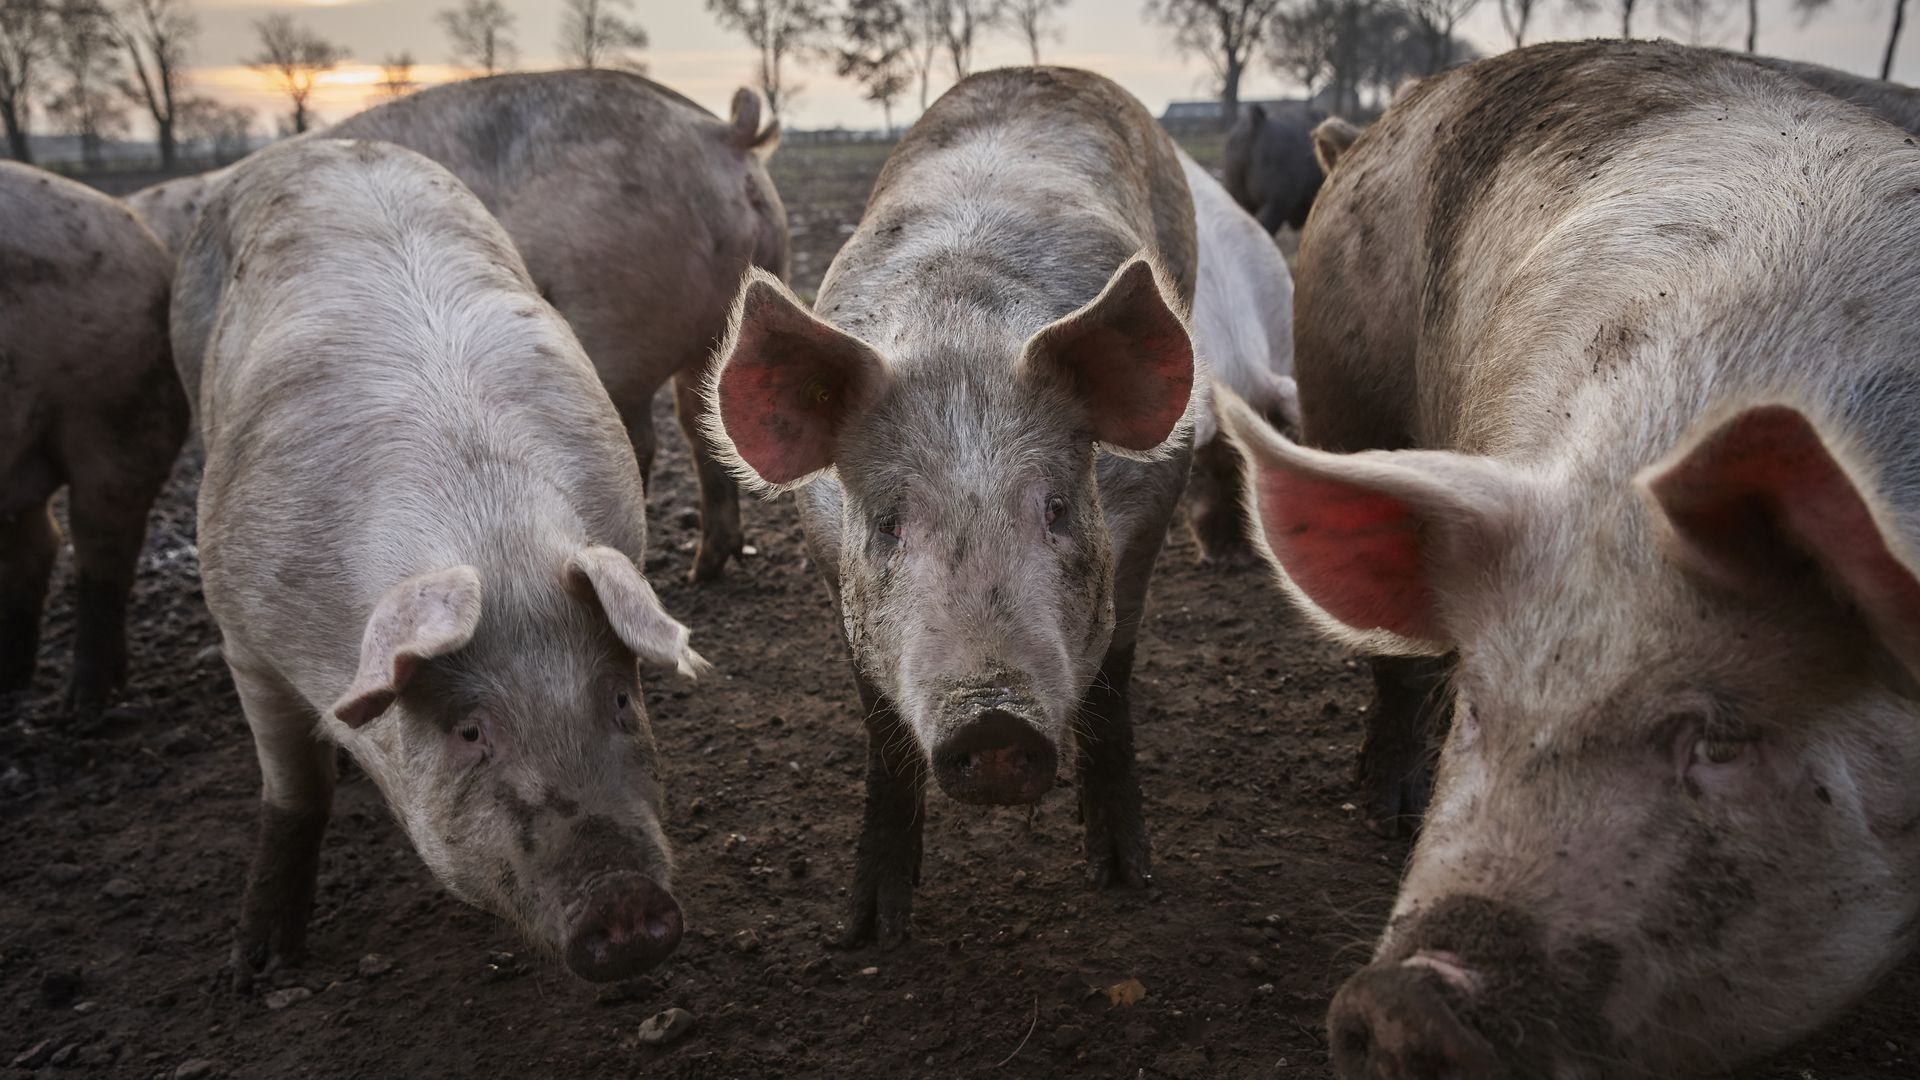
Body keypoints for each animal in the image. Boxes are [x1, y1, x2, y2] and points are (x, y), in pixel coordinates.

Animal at [132, 70, 789, 583]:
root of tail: (723, 135)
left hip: (615, 318)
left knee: (645, 441)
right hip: (724, 316)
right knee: (703, 424)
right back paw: (704, 568)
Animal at [172, 137, 707, 988]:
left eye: (621, 700)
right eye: (469, 731)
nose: (623, 905)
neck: (488, 538)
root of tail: (320, 143)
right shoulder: (243, 627)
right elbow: (295, 791)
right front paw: (258, 969)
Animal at [705, 66, 1199, 947]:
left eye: (1057, 508)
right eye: (887, 523)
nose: (994, 721)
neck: (960, 331)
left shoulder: (1152, 507)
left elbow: (1113, 684)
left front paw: (1124, 876)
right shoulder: (827, 553)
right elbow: (880, 731)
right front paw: (870, 930)